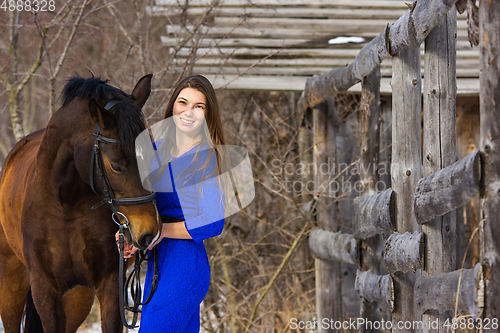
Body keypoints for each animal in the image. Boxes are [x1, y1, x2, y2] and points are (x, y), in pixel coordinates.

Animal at [0, 74, 160, 332]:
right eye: (116, 165)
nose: (150, 232)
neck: (66, 206)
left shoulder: (109, 285)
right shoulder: (45, 289)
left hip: (78, 297)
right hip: (12, 281)